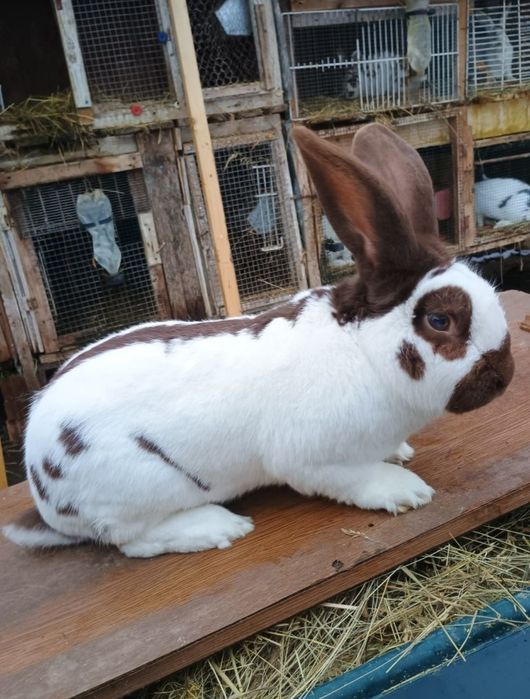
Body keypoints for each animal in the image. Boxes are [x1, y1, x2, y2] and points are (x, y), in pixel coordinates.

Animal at [3, 125, 514, 558]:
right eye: (440, 320)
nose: (505, 375)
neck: (364, 350)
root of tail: (38, 483)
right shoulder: (314, 460)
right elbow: (356, 479)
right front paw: (405, 490)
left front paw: (400, 452)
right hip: (134, 493)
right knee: (131, 541)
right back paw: (218, 526)